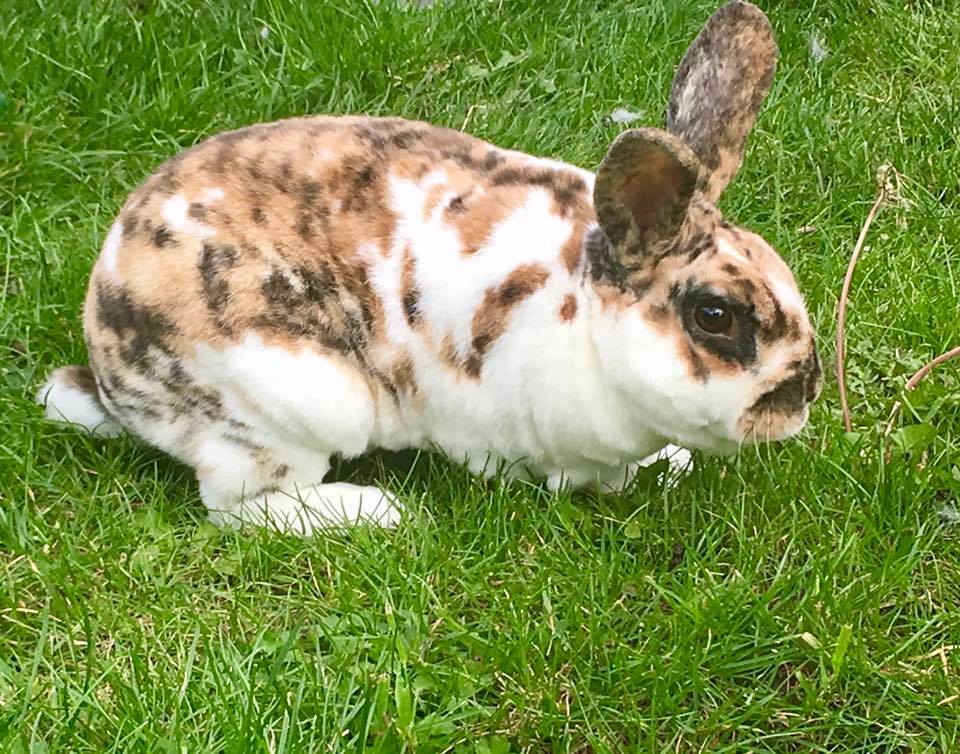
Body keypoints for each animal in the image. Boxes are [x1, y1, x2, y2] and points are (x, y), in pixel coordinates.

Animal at [37, 1, 821, 534]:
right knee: (242, 506)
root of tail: (109, 369)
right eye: (714, 315)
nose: (803, 394)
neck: (584, 321)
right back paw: (382, 512)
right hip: (293, 403)